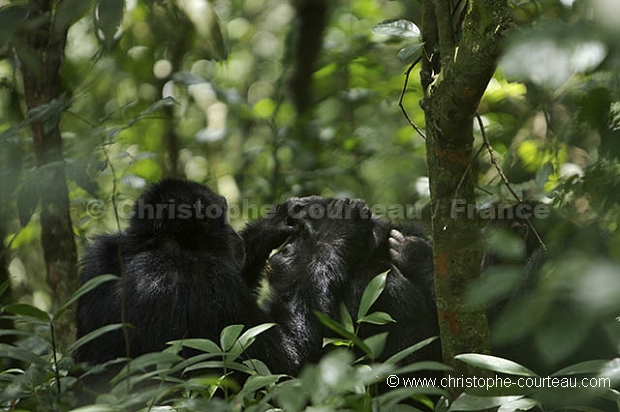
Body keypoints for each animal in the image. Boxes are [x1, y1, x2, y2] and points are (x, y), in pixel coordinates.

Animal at [74, 179, 296, 374]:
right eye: (223, 215)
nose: (234, 233)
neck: (167, 244)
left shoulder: (98, 259)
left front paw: (272, 226)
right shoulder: (223, 285)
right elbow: (281, 364)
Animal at [239, 196, 440, 370]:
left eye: (304, 235)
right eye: (296, 233)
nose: (285, 250)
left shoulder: (379, 287)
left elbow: (299, 357)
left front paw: (338, 228)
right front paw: (277, 221)